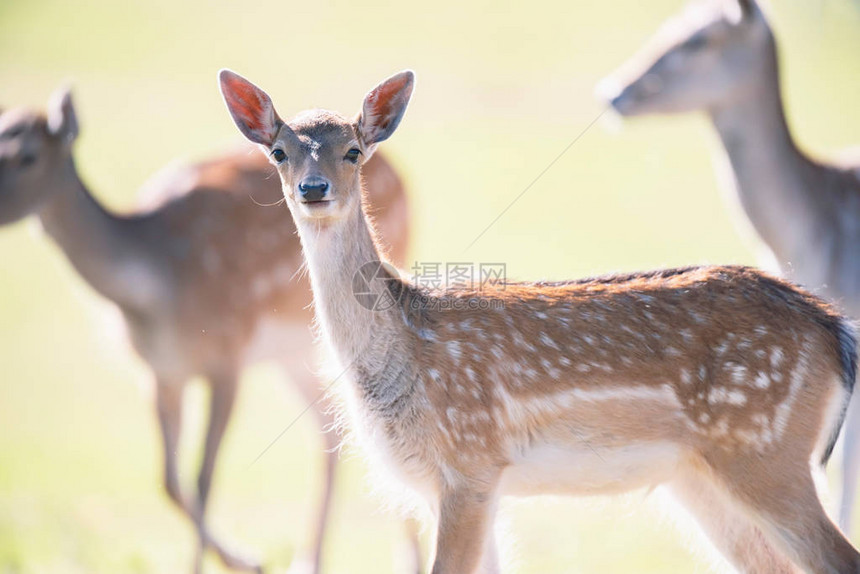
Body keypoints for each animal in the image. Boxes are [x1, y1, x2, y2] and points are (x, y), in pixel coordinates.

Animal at [0, 90, 414, 574]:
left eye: (27, 156)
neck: (156, 291)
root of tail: (400, 173)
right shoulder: (160, 371)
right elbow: (168, 480)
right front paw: (246, 560)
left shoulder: (227, 355)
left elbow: (202, 478)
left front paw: (242, 559)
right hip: (290, 353)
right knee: (327, 431)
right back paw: (308, 560)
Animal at [220, 68, 860, 574]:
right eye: (280, 152)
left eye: (353, 150)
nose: (314, 188)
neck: (402, 356)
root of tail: (833, 330)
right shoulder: (445, 484)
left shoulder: (471, 463)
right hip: (698, 478)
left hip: (766, 450)